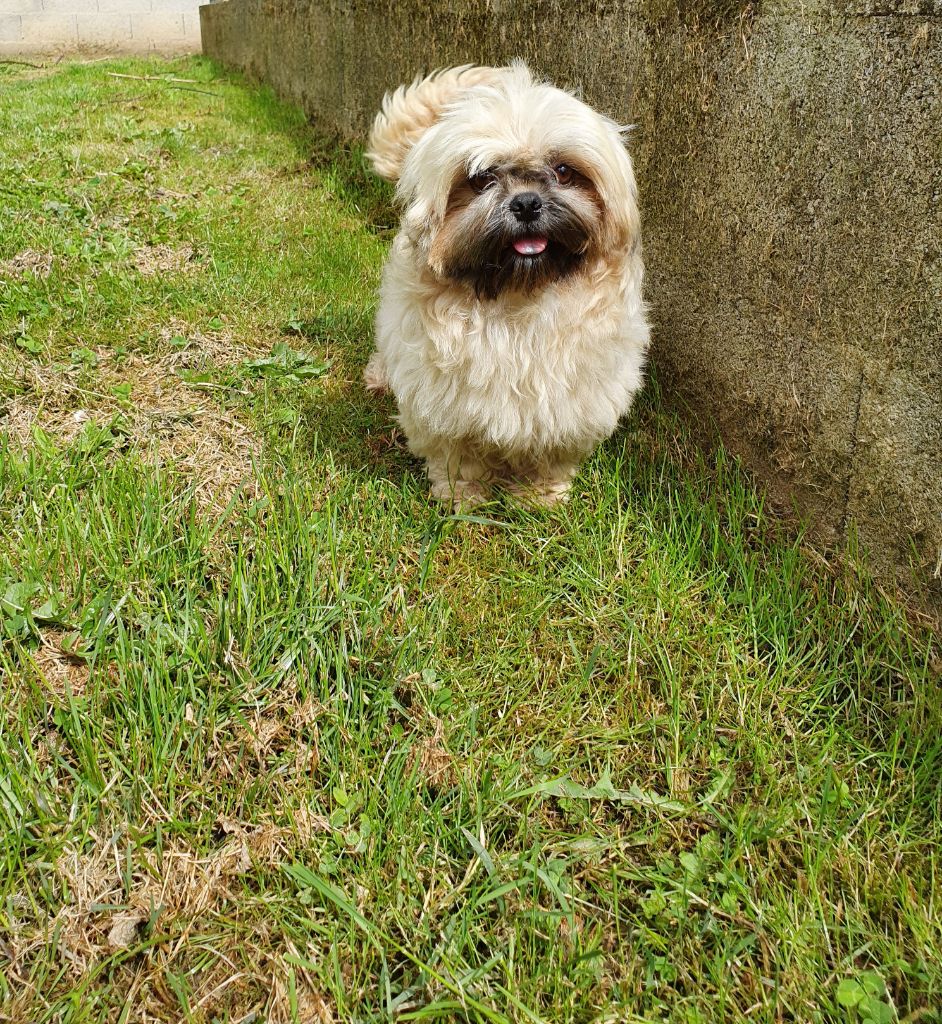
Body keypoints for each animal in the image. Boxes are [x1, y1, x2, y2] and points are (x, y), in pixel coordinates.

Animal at [364, 61, 651, 505]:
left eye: (563, 171)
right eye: (481, 178)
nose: (527, 202)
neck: (517, 301)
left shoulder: (568, 407)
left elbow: (549, 457)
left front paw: (540, 497)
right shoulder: (445, 409)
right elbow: (458, 460)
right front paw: (463, 500)